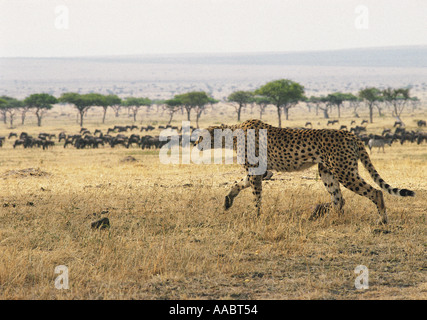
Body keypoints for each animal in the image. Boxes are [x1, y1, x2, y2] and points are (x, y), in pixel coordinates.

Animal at [195, 119, 414, 224]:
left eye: (202, 136)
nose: (194, 143)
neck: (231, 135)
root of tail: (350, 133)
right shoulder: (262, 172)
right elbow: (239, 183)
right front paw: (228, 200)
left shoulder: (257, 171)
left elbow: (256, 196)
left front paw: (256, 216)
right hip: (327, 172)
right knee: (339, 199)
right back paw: (329, 219)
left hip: (344, 171)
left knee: (375, 192)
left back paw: (382, 221)